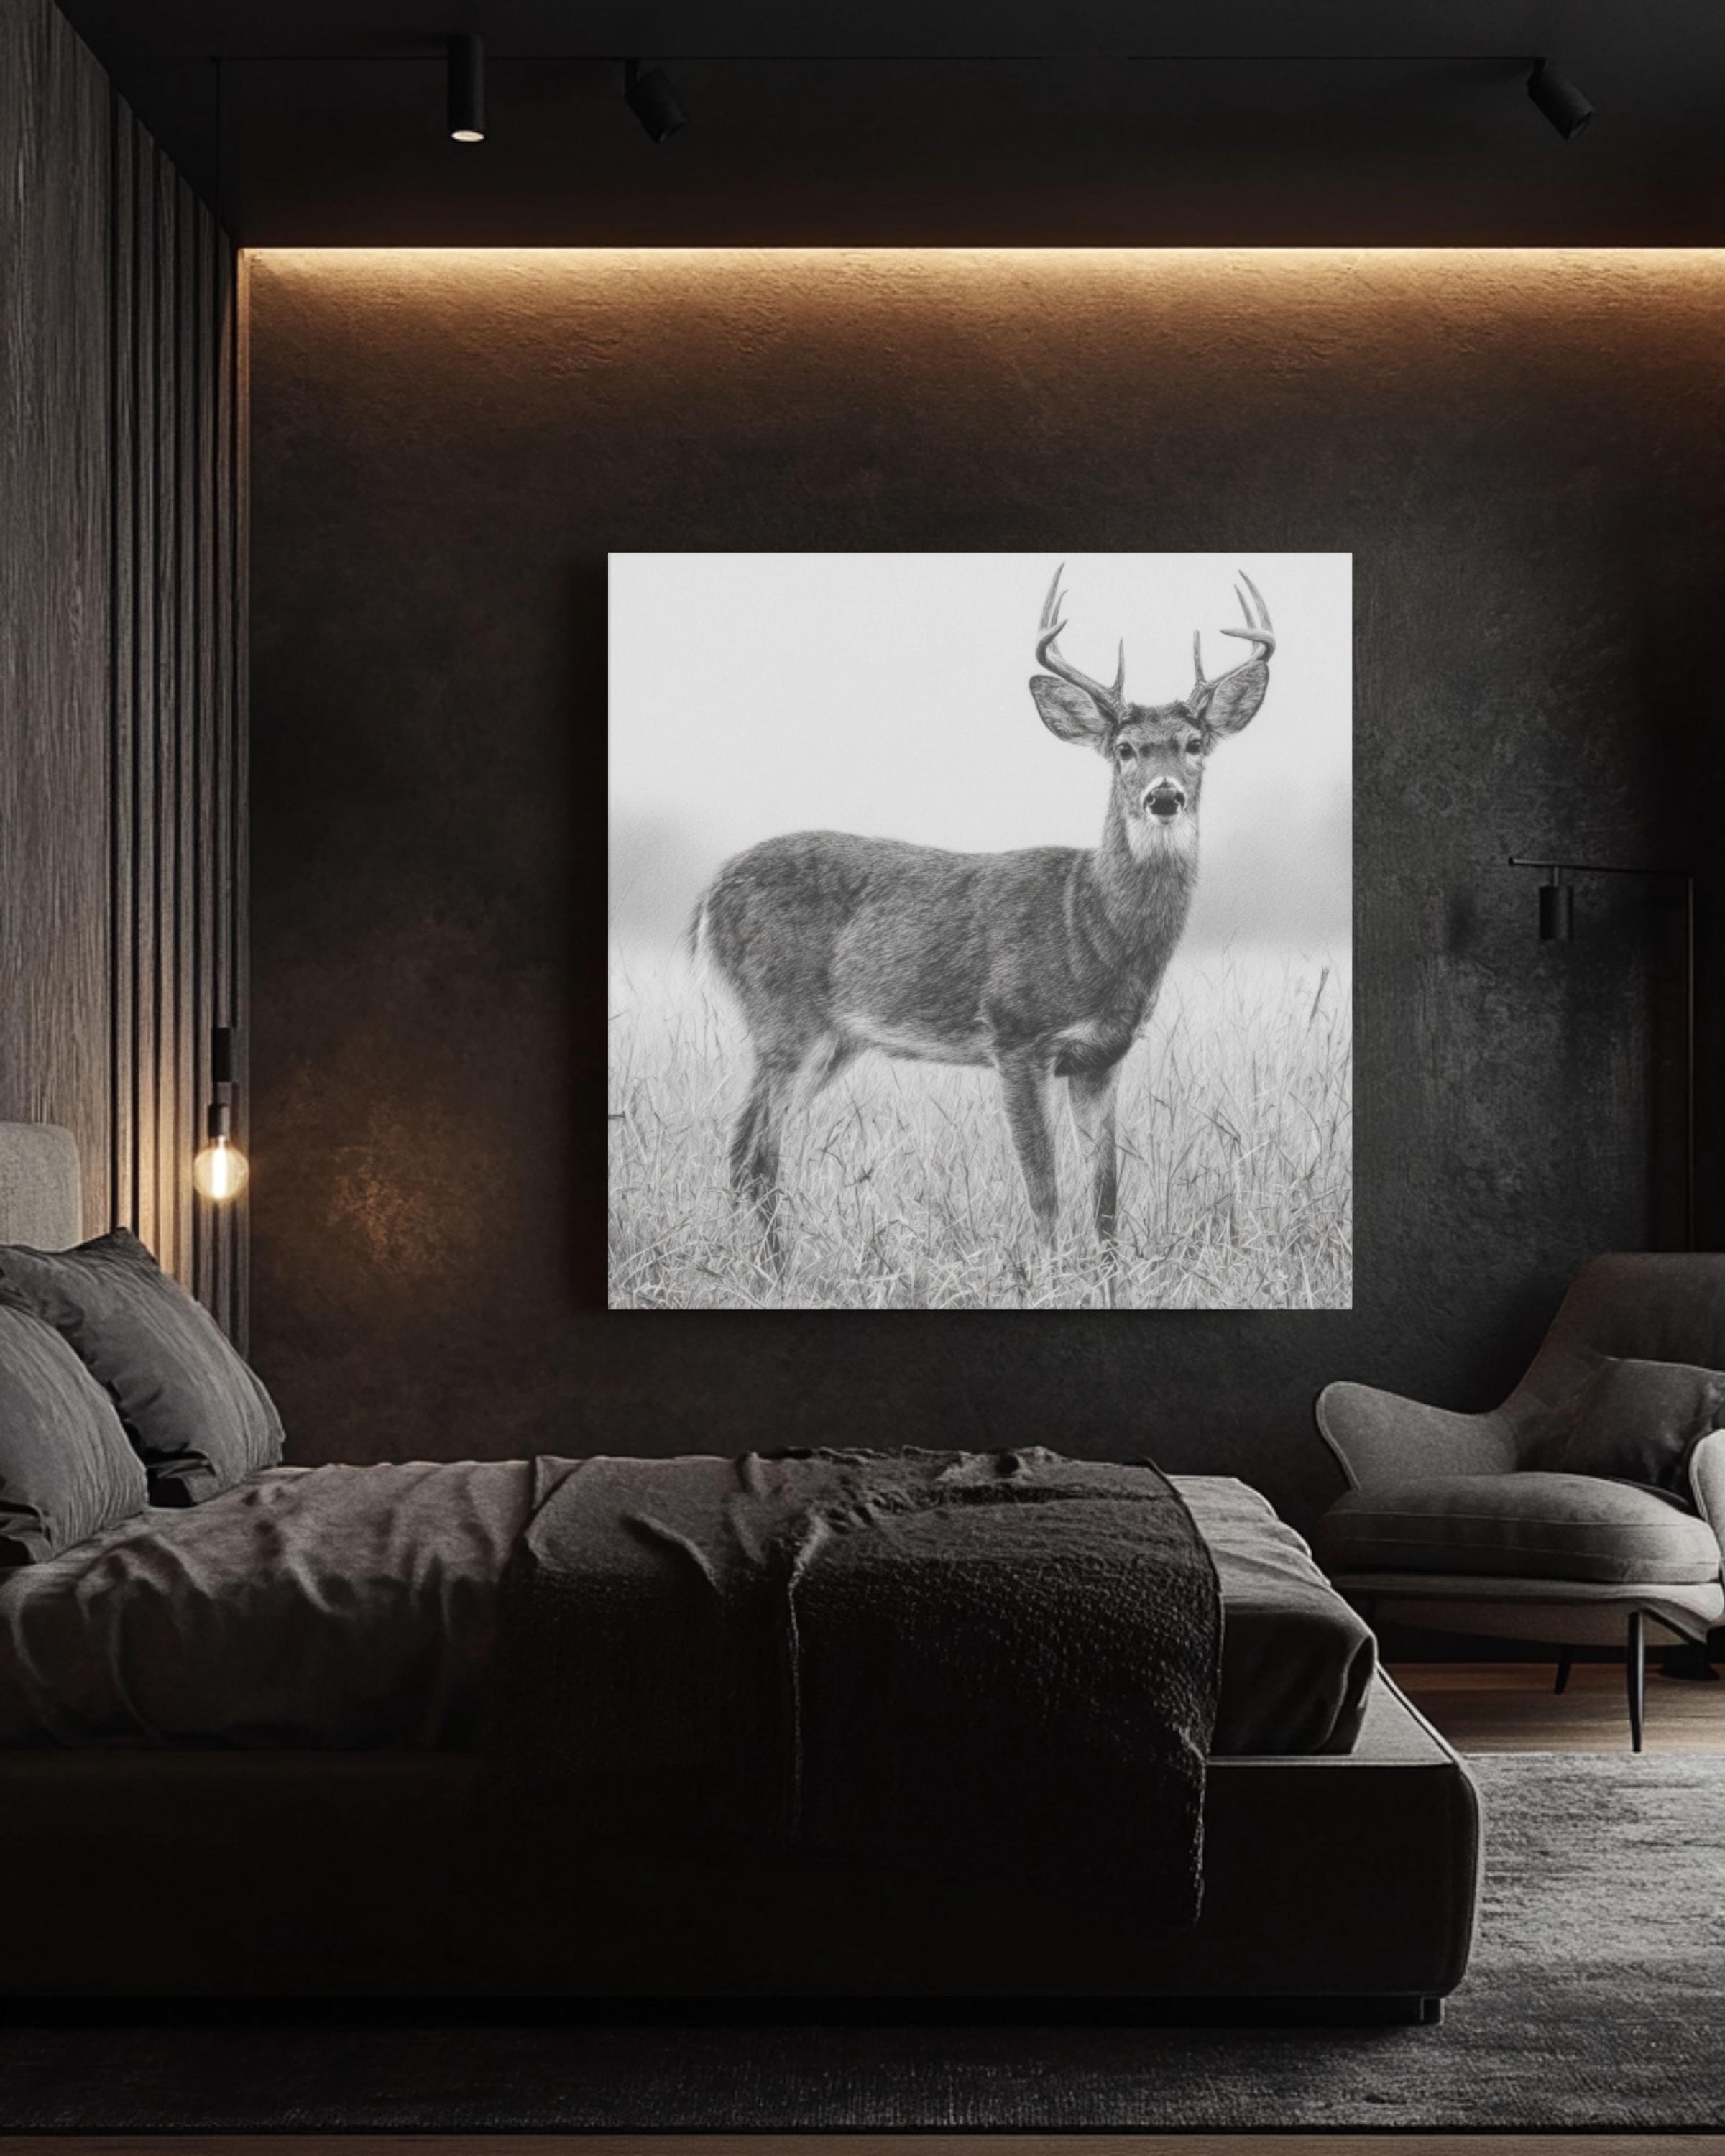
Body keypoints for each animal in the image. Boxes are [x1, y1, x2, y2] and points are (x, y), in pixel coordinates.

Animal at [692, 565, 1275, 1270]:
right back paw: (778, 1272)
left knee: (747, 1150)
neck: (1091, 927)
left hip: (832, 1039)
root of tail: (710, 895)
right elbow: (1044, 1189)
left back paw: (772, 1269)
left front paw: (1108, 1276)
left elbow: (1106, 1196)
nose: (1165, 796)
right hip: (783, 1018)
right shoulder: (1016, 1036)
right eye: (1125, 749)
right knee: (754, 1152)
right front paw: (1050, 1275)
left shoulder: (1102, 1056)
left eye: (1194, 744)